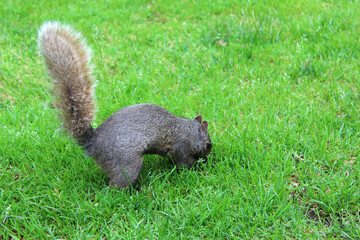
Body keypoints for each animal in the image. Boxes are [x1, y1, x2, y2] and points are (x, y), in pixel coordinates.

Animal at [37, 21, 211, 188]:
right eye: (208, 145)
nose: (208, 157)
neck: (189, 130)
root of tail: (93, 144)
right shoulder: (181, 147)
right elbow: (184, 163)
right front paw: (196, 170)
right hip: (127, 164)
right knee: (117, 185)